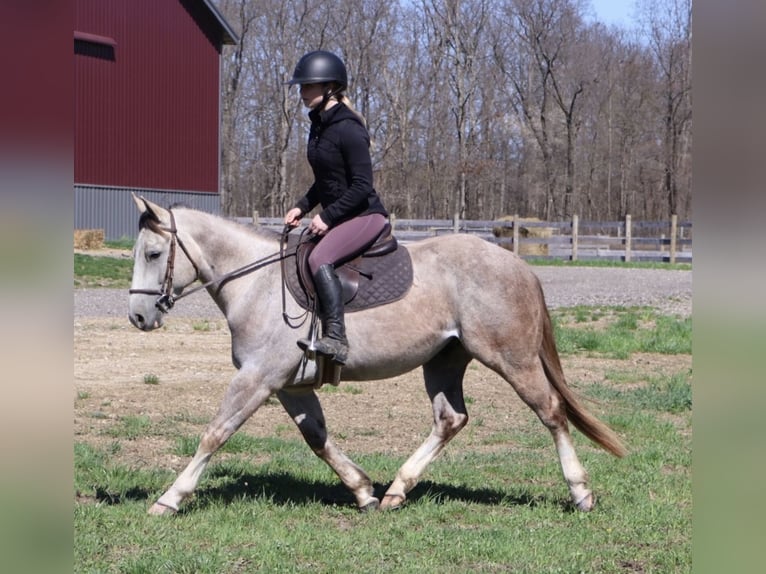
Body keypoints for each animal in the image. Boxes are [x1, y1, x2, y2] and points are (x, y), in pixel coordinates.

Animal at [127, 194, 626, 516]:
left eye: (153, 253)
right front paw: (363, 491)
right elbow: (318, 438)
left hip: (511, 359)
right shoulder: (287, 386)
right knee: (450, 419)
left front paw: (170, 498)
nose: (137, 316)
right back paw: (396, 492)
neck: (257, 284)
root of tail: (518, 264)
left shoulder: (257, 378)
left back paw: (580, 492)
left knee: (551, 412)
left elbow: (215, 433)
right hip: (445, 359)